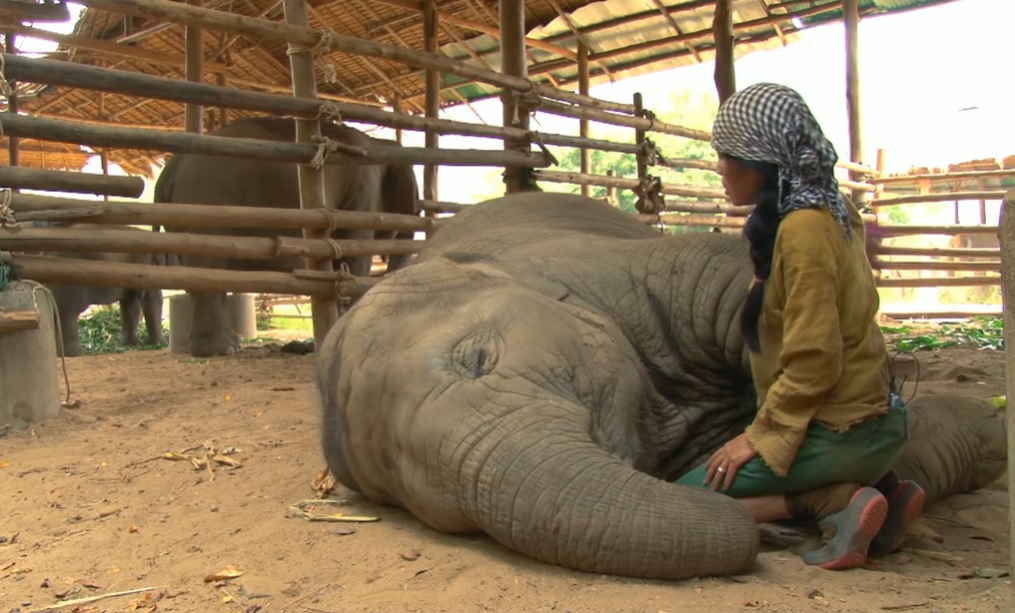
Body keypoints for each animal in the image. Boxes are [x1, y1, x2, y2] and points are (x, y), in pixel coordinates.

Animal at [29, 221, 163, 357]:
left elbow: (130, 303)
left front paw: (132, 344)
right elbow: (151, 297)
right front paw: (156, 343)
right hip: (70, 280)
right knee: (68, 312)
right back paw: (77, 353)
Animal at [153, 115, 420, 357]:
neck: (378, 144)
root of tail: (168, 171)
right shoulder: (362, 191)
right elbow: (353, 252)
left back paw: (232, 345)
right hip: (207, 204)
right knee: (209, 270)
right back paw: (222, 349)